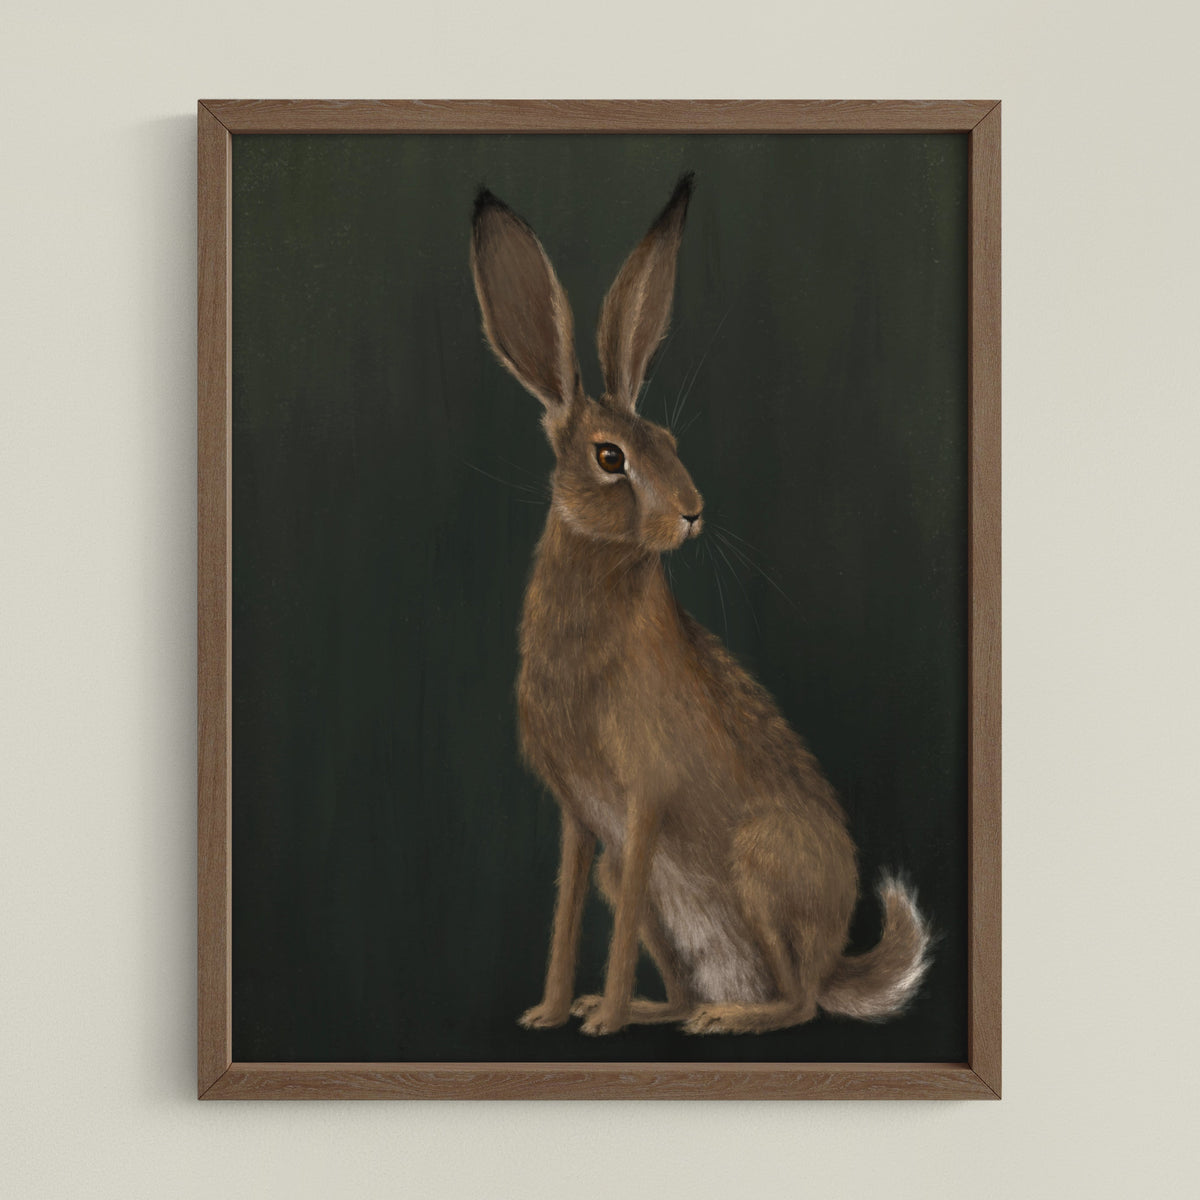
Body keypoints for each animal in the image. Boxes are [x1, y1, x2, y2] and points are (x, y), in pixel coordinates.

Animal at [470, 173, 932, 1036]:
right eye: (610, 456)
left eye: (671, 443)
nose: (691, 512)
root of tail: (833, 960)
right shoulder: (583, 823)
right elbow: (566, 913)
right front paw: (552, 1013)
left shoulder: (644, 798)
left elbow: (611, 925)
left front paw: (600, 1024)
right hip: (650, 885)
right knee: (692, 979)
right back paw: (660, 1009)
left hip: (759, 865)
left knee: (799, 1004)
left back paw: (726, 1019)